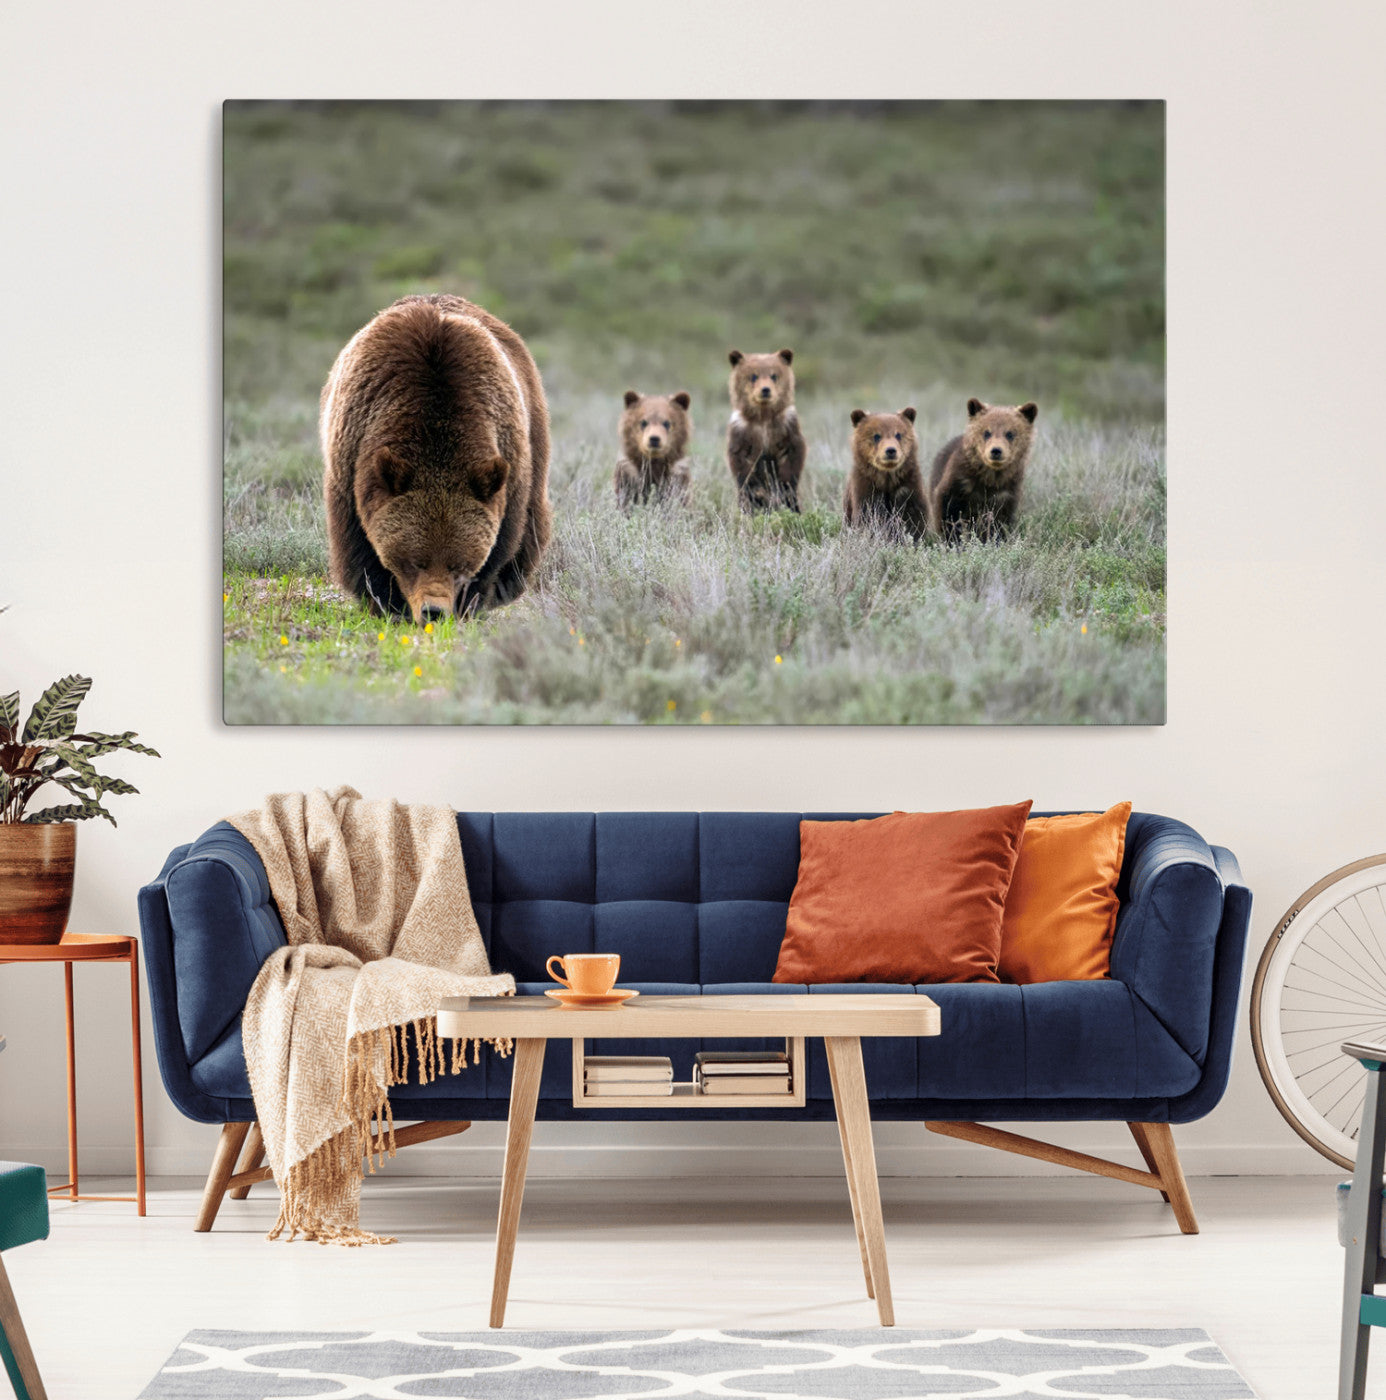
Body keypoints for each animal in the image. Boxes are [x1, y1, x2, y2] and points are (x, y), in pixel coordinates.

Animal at [320, 293, 552, 622]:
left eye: (459, 564)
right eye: (415, 560)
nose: (434, 611)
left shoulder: (508, 462)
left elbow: (501, 543)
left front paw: (470, 603)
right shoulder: (352, 459)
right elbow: (358, 545)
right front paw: (386, 602)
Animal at [725, 348, 806, 513]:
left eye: (774, 375)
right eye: (753, 376)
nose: (765, 390)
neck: (763, 418)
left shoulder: (787, 427)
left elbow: (792, 458)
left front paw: (783, 490)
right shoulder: (742, 431)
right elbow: (742, 464)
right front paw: (758, 494)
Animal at [843, 407, 932, 540]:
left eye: (898, 434)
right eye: (876, 436)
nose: (890, 450)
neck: (887, 478)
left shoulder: (908, 487)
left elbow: (913, 519)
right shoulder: (866, 490)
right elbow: (867, 518)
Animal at [930, 398, 1038, 542]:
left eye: (1010, 433)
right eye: (987, 432)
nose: (996, 451)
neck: (990, 478)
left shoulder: (1006, 492)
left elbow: (1000, 522)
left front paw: (995, 539)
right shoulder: (959, 482)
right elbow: (948, 512)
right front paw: (952, 539)